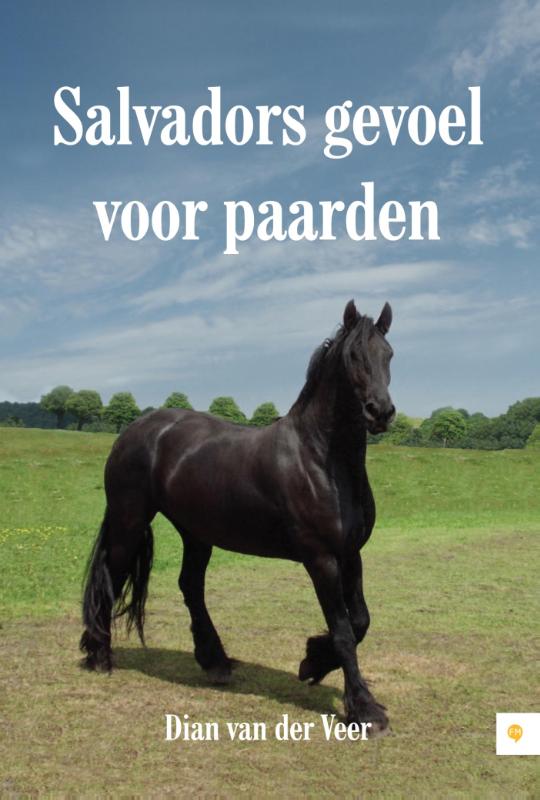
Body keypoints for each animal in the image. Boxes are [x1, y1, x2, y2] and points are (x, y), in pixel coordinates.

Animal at [80, 299, 395, 734]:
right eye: (353, 356)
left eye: (388, 354)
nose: (381, 412)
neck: (320, 459)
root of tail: (134, 430)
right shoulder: (321, 559)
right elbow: (345, 631)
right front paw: (363, 709)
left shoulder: (350, 554)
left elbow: (361, 620)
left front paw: (313, 661)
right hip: (130, 521)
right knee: (111, 578)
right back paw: (99, 655)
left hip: (196, 533)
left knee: (190, 586)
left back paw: (214, 660)